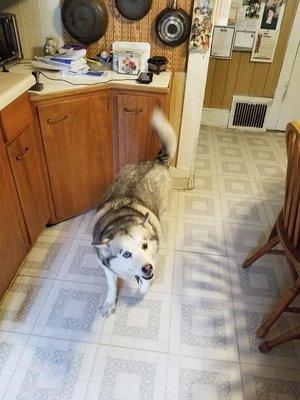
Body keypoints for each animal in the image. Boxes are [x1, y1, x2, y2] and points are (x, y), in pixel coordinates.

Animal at [91, 108, 176, 316]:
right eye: (126, 254)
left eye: (144, 245)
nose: (147, 267)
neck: (120, 219)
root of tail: (156, 161)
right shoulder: (106, 266)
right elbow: (111, 284)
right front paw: (110, 302)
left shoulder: (153, 258)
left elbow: (145, 284)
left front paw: (141, 288)